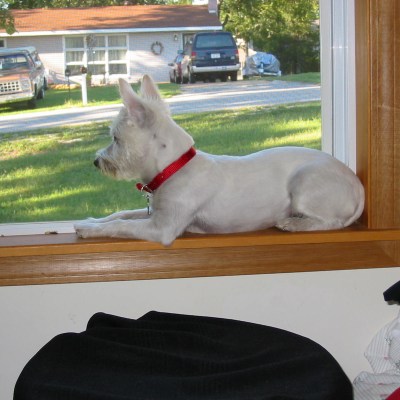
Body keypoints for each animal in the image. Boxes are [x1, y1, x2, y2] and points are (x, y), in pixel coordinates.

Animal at [74, 75, 365, 246]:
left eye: (115, 139)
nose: (96, 162)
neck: (174, 168)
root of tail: (358, 186)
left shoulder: (161, 228)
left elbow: (121, 225)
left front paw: (87, 229)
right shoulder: (155, 215)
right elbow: (121, 214)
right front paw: (92, 221)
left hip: (304, 184)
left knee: (331, 222)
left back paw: (293, 223)